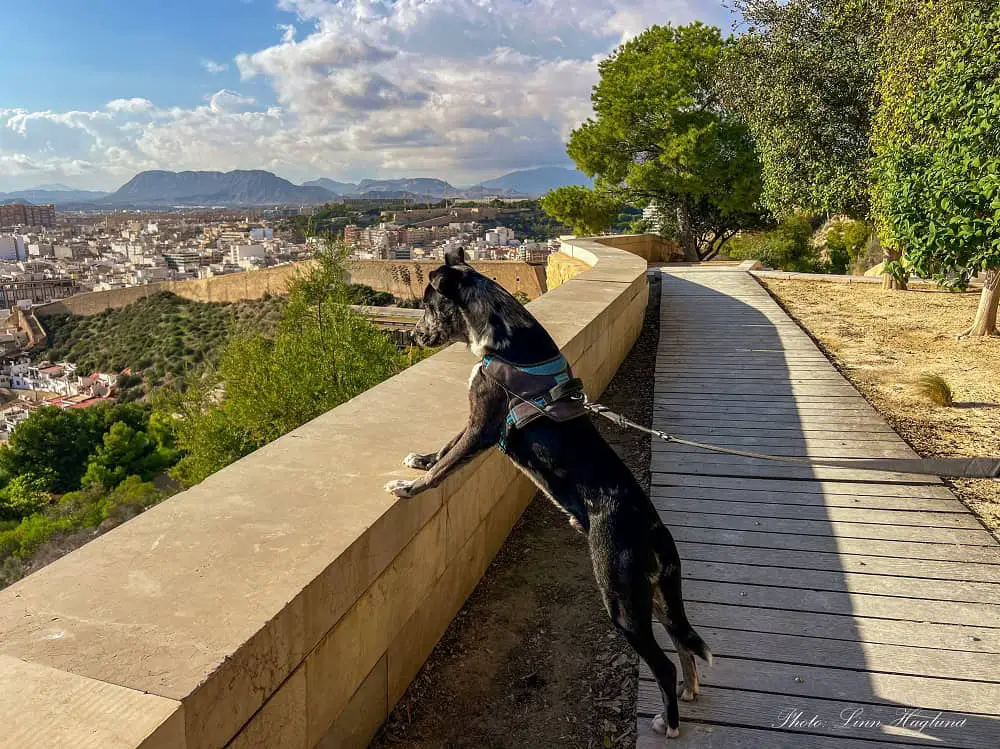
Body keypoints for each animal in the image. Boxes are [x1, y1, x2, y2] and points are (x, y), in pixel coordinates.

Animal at [384, 250, 712, 736]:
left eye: (428, 305)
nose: (413, 336)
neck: (501, 339)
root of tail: (655, 531)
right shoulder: (476, 419)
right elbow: (444, 447)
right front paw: (418, 461)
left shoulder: (483, 425)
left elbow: (446, 464)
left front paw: (410, 487)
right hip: (658, 593)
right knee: (682, 640)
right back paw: (690, 690)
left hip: (621, 598)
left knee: (664, 663)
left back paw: (669, 722)